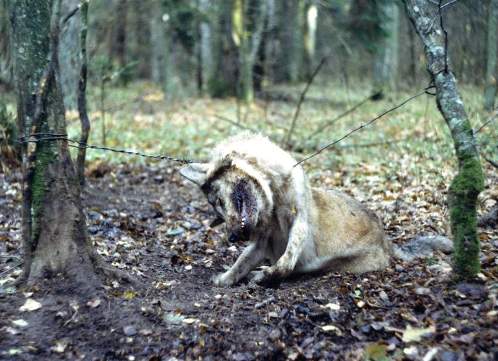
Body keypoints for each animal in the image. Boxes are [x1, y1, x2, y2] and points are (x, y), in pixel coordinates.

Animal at [180, 131, 392, 284]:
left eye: (219, 201)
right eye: (218, 212)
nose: (232, 238)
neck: (273, 197)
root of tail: (385, 240)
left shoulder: (299, 222)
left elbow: (285, 262)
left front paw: (265, 276)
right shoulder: (260, 243)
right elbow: (241, 263)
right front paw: (224, 279)